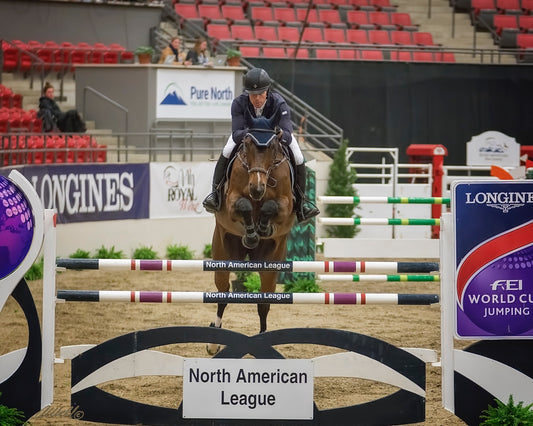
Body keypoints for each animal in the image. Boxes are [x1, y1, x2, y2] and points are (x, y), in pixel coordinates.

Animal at [208, 111, 298, 354]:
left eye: (273, 146)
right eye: (247, 143)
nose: (257, 188)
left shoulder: (286, 205)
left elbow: (271, 207)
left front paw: (263, 227)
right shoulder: (231, 202)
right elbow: (244, 205)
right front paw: (251, 233)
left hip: (271, 266)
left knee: (263, 303)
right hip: (222, 257)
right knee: (223, 296)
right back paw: (213, 340)